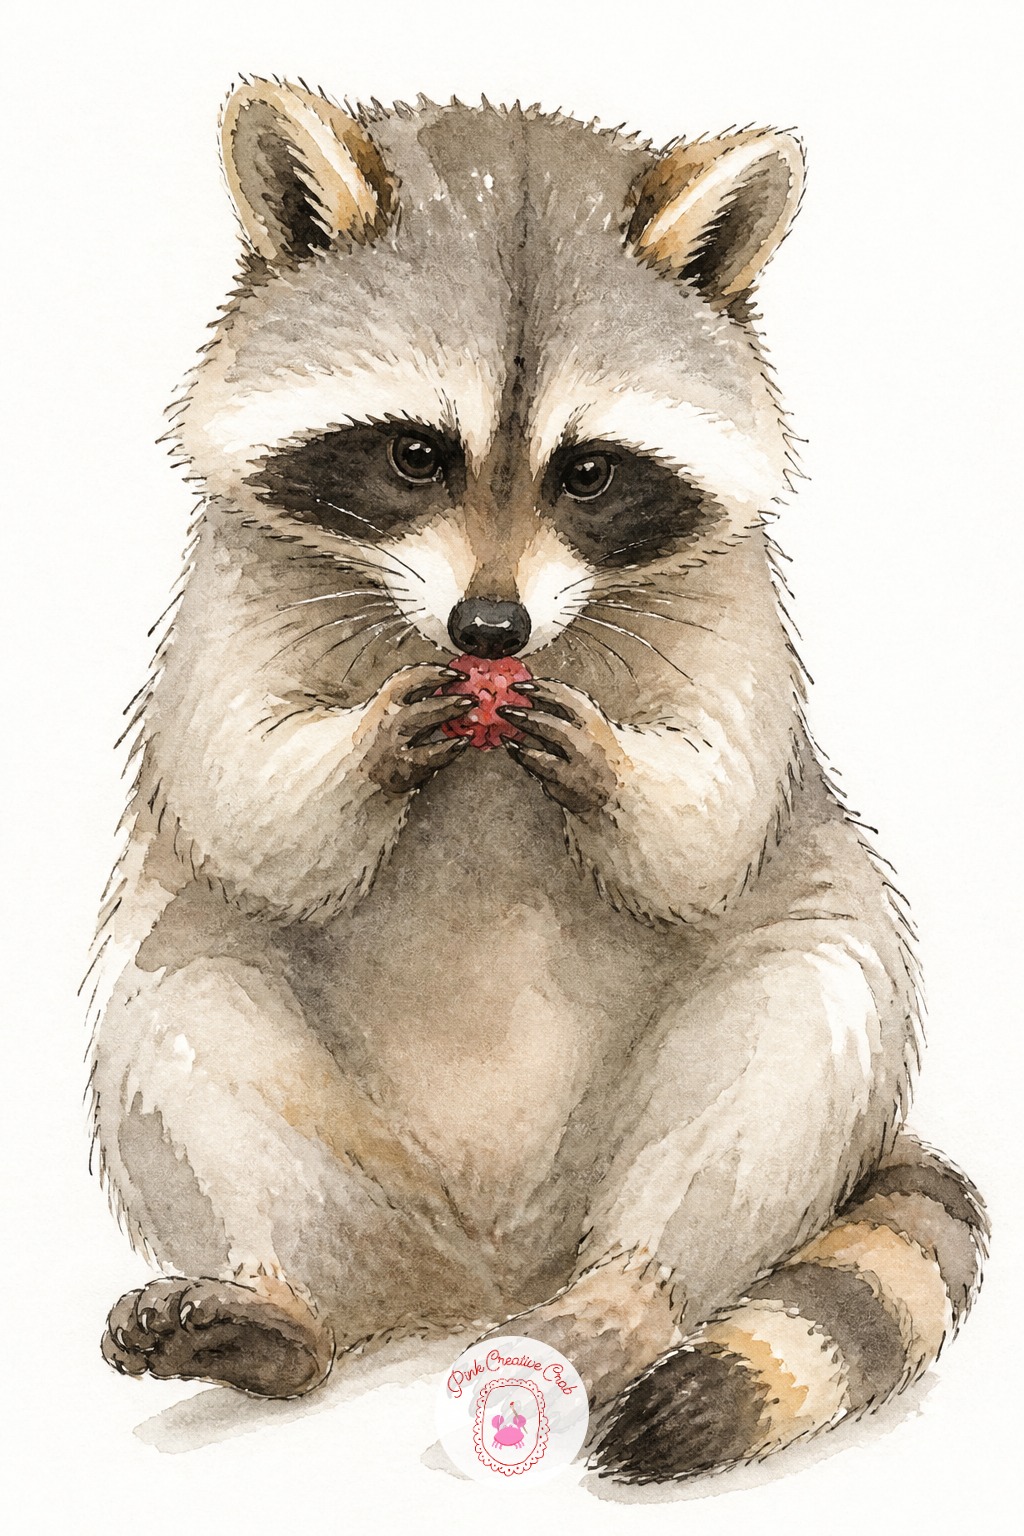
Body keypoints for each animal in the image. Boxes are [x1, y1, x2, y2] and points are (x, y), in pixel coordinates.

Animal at [88, 80, 987, 1481]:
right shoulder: (230, 579)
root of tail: (482, 1272)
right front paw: (369, 743)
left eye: (590, 471)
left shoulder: (733, 600)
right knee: (177, 1018)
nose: (490, 630)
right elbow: (241, 796)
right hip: (302, 1127)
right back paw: (280, 1302)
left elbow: (712, 823)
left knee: (784, 1044)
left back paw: (625, 1298)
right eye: (414, 454)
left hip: (764, 1030)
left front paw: (611, 768)